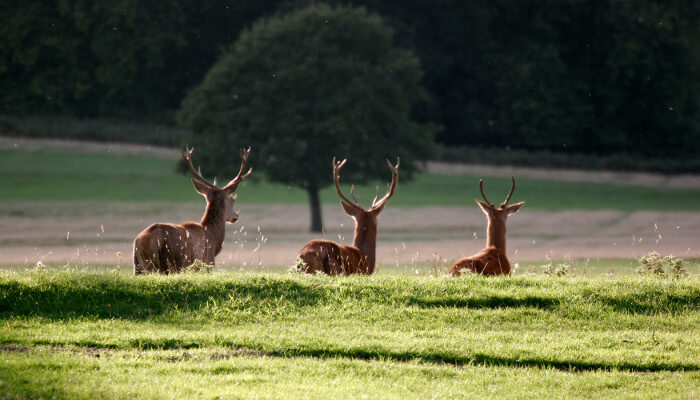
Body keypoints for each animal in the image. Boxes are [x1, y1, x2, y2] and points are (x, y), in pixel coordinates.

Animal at [133, 147, 253, 276]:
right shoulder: (207, 263)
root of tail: (139, 241)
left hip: (138, 266)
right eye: (232, 199)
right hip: (163, 265)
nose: (235, 216)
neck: (213, 237)